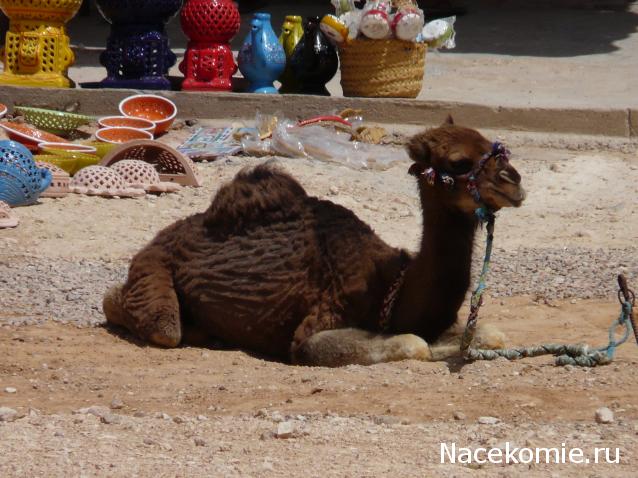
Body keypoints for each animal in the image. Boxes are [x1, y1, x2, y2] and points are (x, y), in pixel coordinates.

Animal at [104, 118, 524, 366]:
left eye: (494, 146)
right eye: (459, 162)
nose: (514, 182)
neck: (390, 286)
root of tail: (161, 237)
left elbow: (491, 334)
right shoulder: (313, 328)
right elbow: (412, 344)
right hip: (151, 270)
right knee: (151, 320)